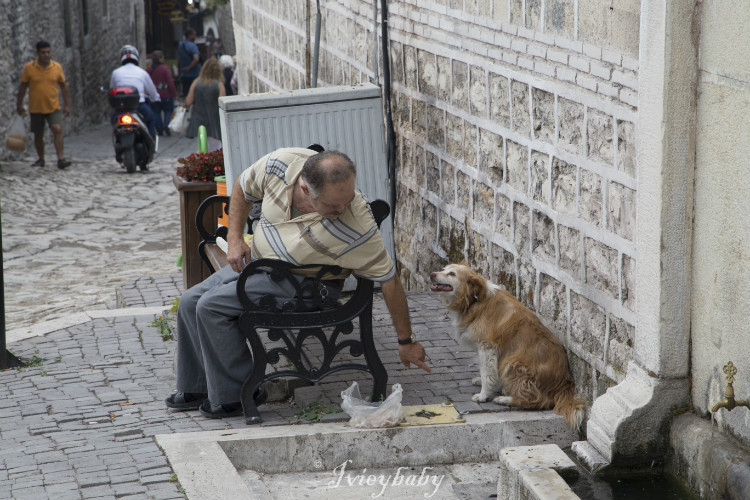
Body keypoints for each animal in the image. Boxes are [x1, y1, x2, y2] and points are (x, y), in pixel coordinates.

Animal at [432, 262, 584, 430]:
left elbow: (487, 372)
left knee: (537, 400)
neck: (474, 301)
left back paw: (505, 399)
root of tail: (565, 383)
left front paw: (484, 395)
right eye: (443, 269)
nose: (432, 274)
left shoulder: (487, 347)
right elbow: (489, 371)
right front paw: (488, 384)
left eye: (452, 274)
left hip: (512, 363)